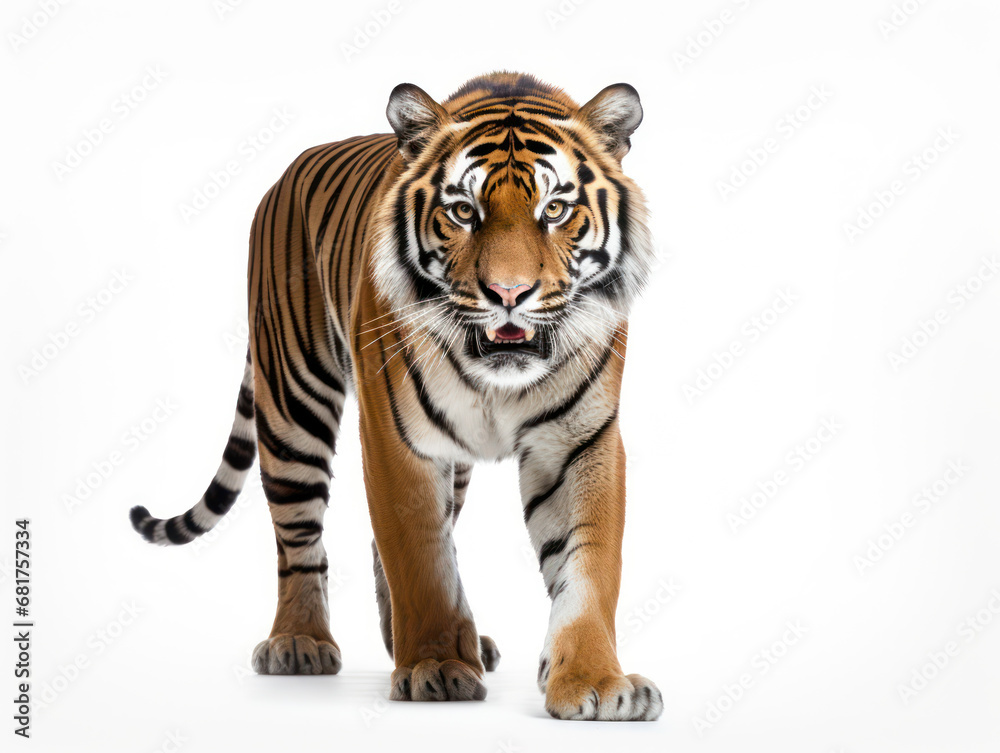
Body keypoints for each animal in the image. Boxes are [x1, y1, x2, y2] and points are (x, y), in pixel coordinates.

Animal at [129, 72, 662, 721]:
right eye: (463, 211)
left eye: (555, 209)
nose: (509, 294)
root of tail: (284, 175)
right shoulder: (396, 437)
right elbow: (419, 557)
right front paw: (435, 666)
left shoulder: (578, 441)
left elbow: (588, 565)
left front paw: (595, 682)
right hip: (293, 400)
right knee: (298, 536)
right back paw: (299, 642)